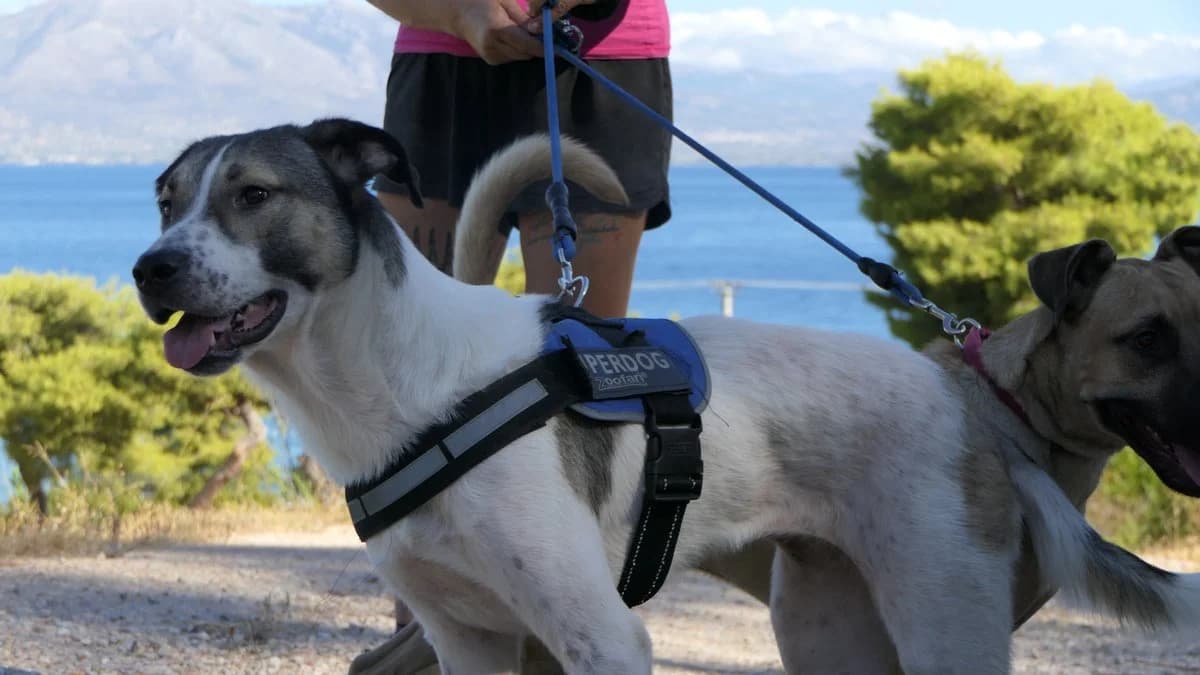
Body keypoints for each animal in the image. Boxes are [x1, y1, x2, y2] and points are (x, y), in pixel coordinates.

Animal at [133, 117, 1200, 674]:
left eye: (255, 195)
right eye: (164, 198)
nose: (150, 268)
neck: (407, 386)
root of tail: (971, 404)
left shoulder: (601, 636)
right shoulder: (466, 637)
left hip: (945, 623)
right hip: (829, 628)